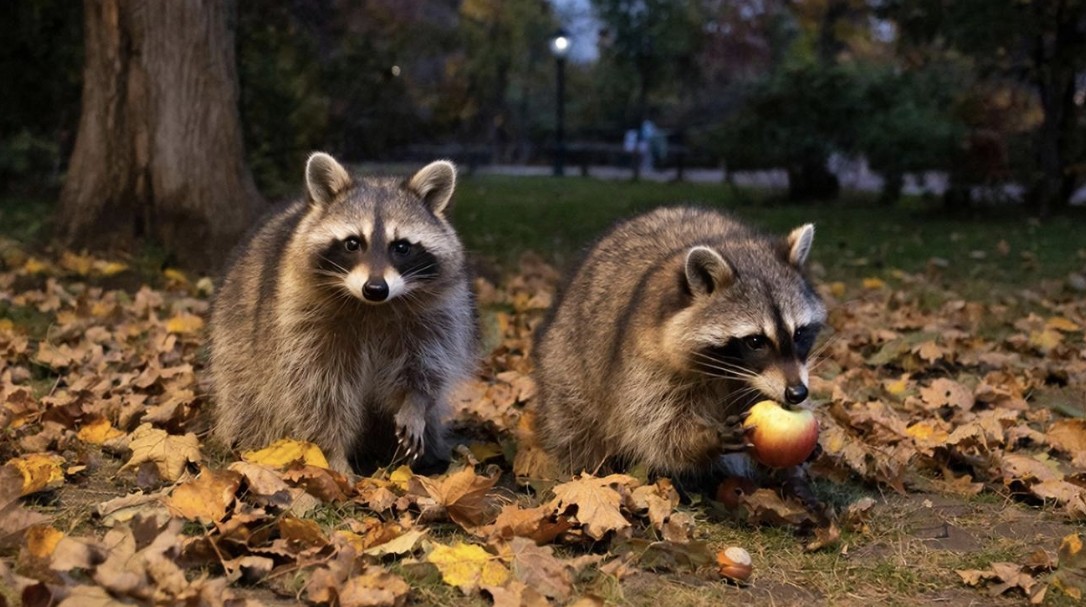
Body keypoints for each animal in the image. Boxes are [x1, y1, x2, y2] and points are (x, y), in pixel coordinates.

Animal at [209, 153, 477, 474]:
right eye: (352, 243)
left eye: (401, 247)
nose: (375, 288)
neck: (374, 308)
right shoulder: (300, 318)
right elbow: (319, 390)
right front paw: (333, 455)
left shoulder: (437, 311)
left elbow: (427, 366)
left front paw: (414, 403)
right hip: (236, 344)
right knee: (250, 398)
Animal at [533, 206, 825, 489]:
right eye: (755, 341)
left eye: (799, 334)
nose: (797, 393)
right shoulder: (645, 359)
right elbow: (655, 425)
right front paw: (703, 439)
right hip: (566, 365)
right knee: (576, 424)